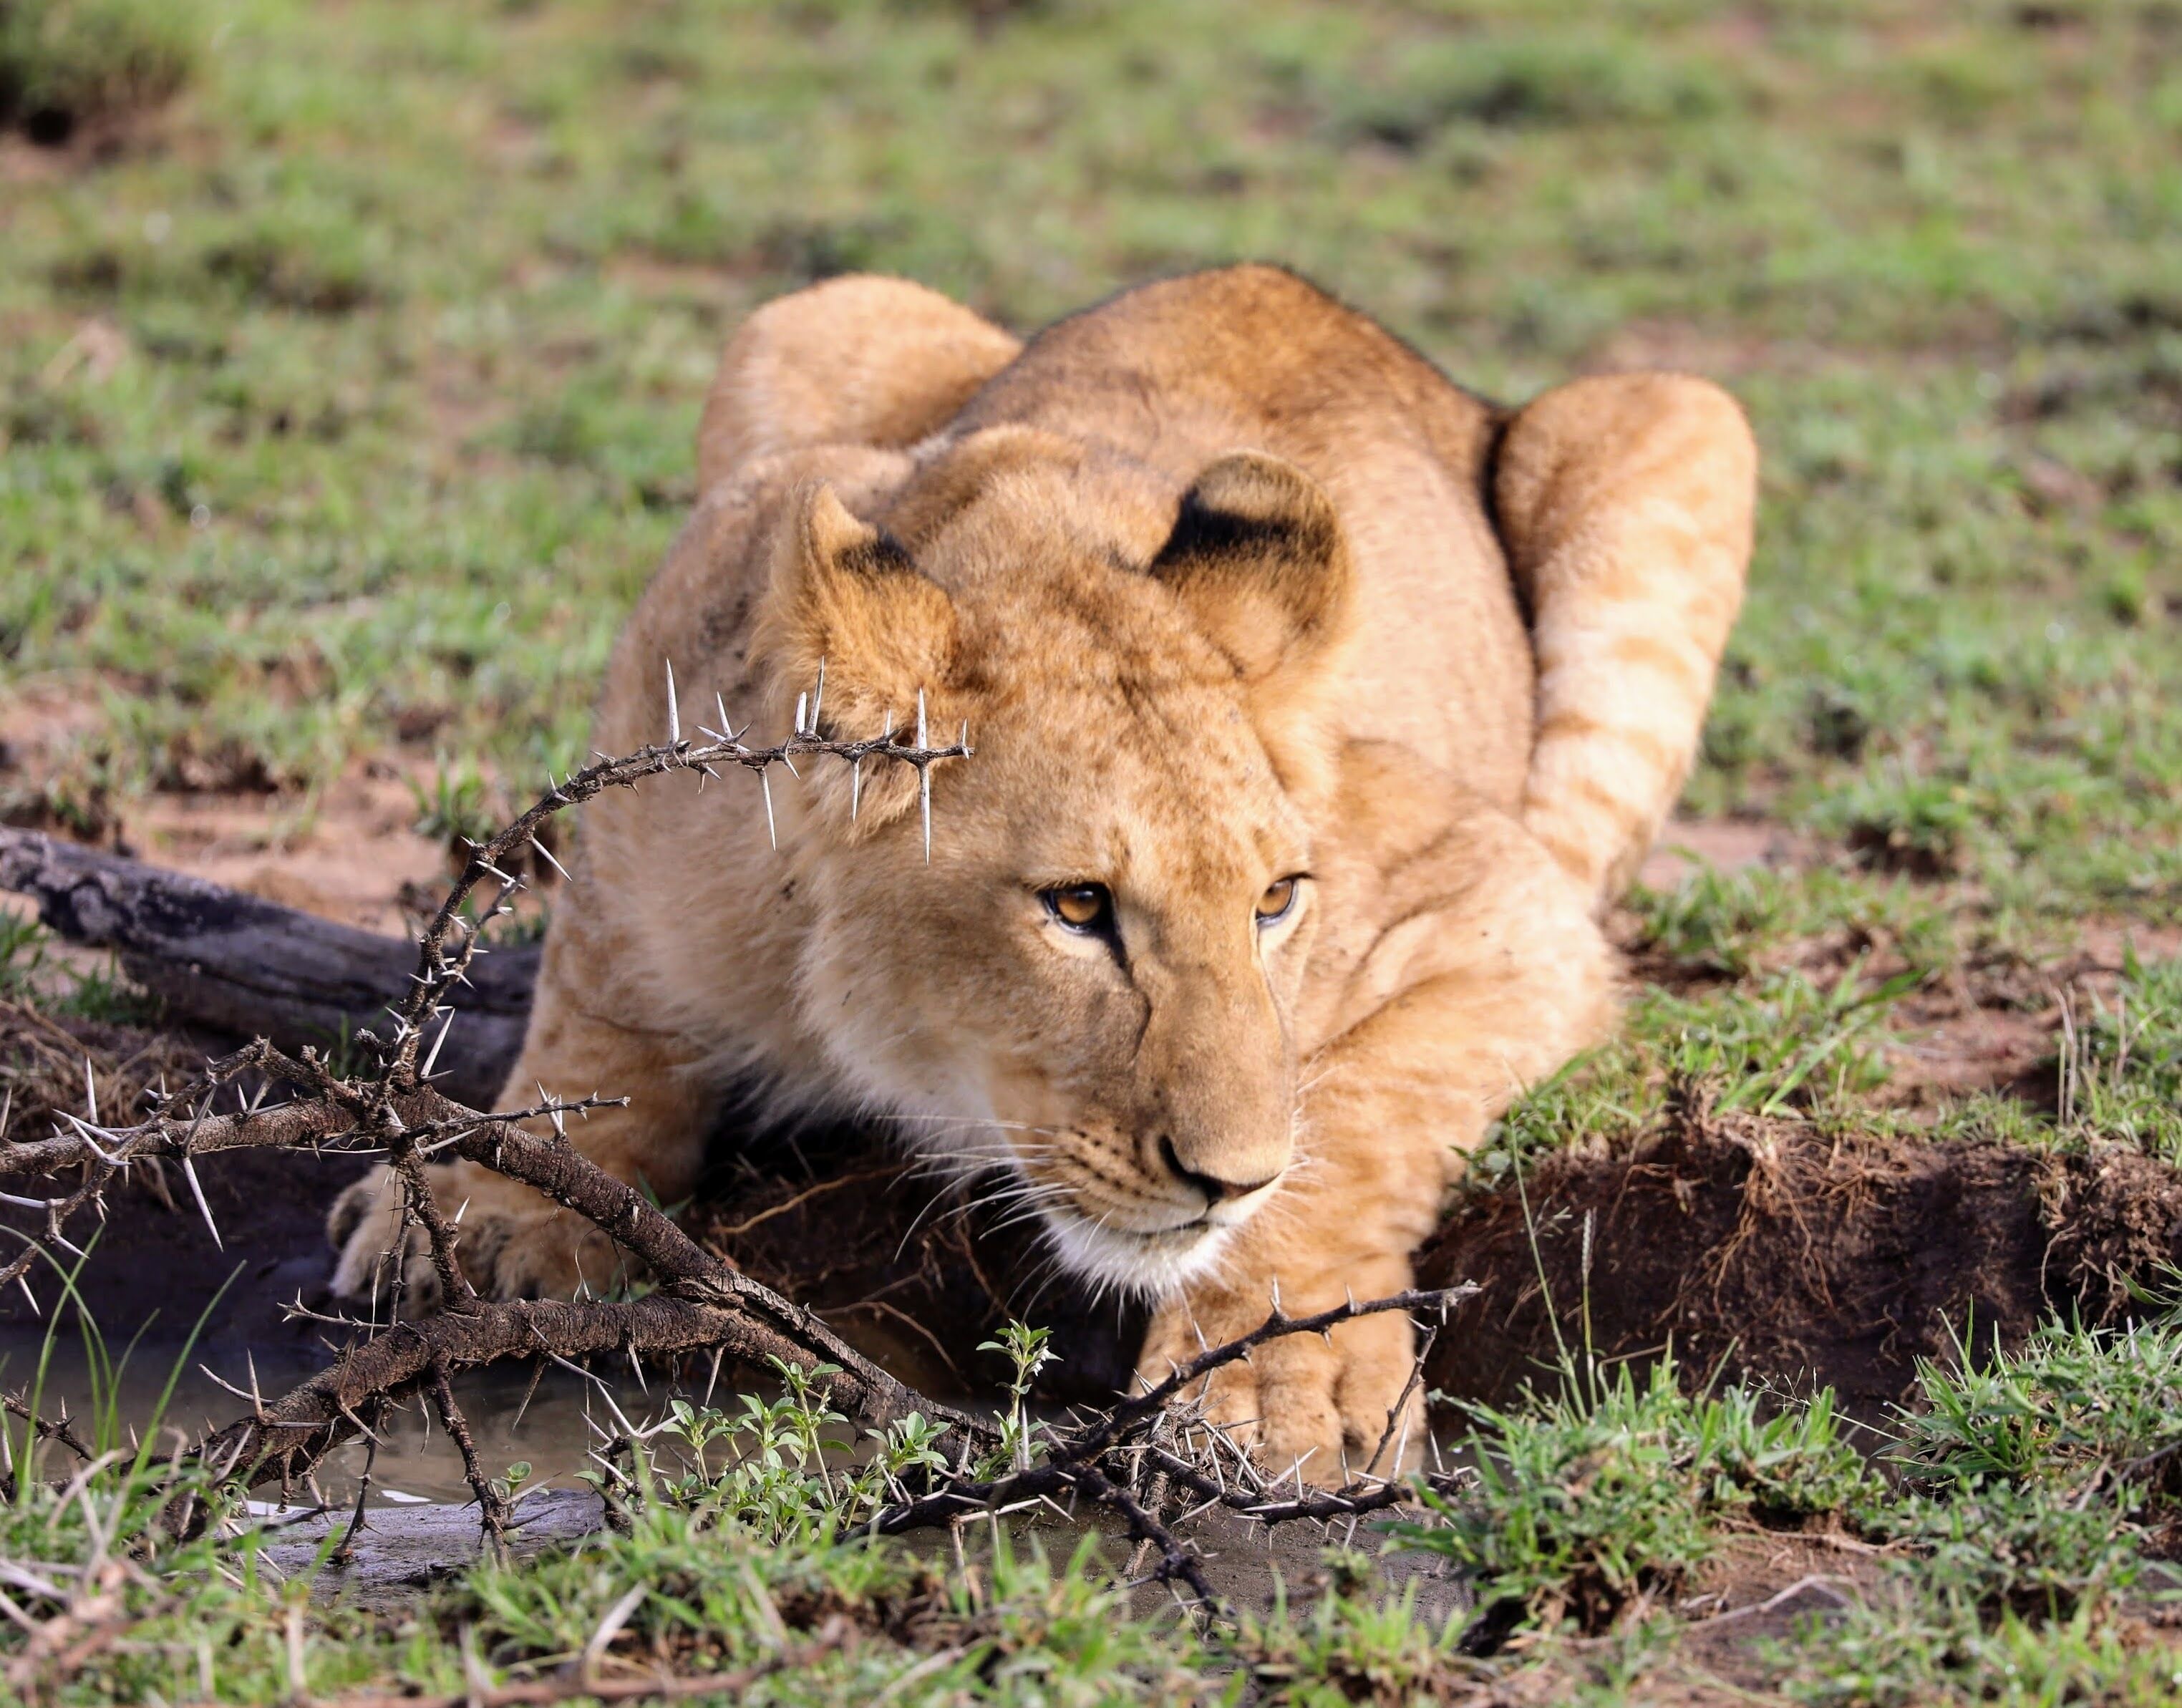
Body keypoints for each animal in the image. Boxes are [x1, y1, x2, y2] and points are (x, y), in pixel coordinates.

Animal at [330, 265, 1755, 1481]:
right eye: (1077, 906)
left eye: (1275, 900)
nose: (1228, 1176)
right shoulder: (665, 711)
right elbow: (593, 1007)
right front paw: (483, 1201)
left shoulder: (1500, 904)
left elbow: (1353, 1111)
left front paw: (1275, 1385)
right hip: (816, 316)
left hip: (1677, 419)